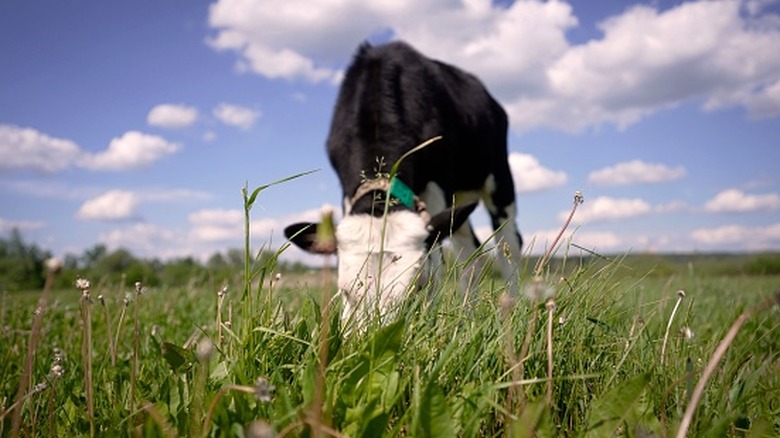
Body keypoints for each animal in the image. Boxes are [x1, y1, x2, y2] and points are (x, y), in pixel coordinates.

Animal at [285, 41, 523, 322]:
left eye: (417, 287)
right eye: (345, 290)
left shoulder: (437, 186)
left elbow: (436, 263)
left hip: (499, 178)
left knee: (509, 244)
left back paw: (511, 311)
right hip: (461, 200)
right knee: (470, 250)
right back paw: (467, 316)